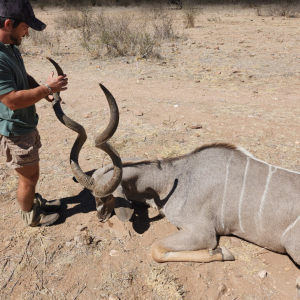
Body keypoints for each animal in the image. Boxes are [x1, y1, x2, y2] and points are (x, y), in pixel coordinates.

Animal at [47, 58, 300, 290]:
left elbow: (157, 249)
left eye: (107, 196)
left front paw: (222, 252)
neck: (173, 178)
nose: (99, 217)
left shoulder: (203, 232)